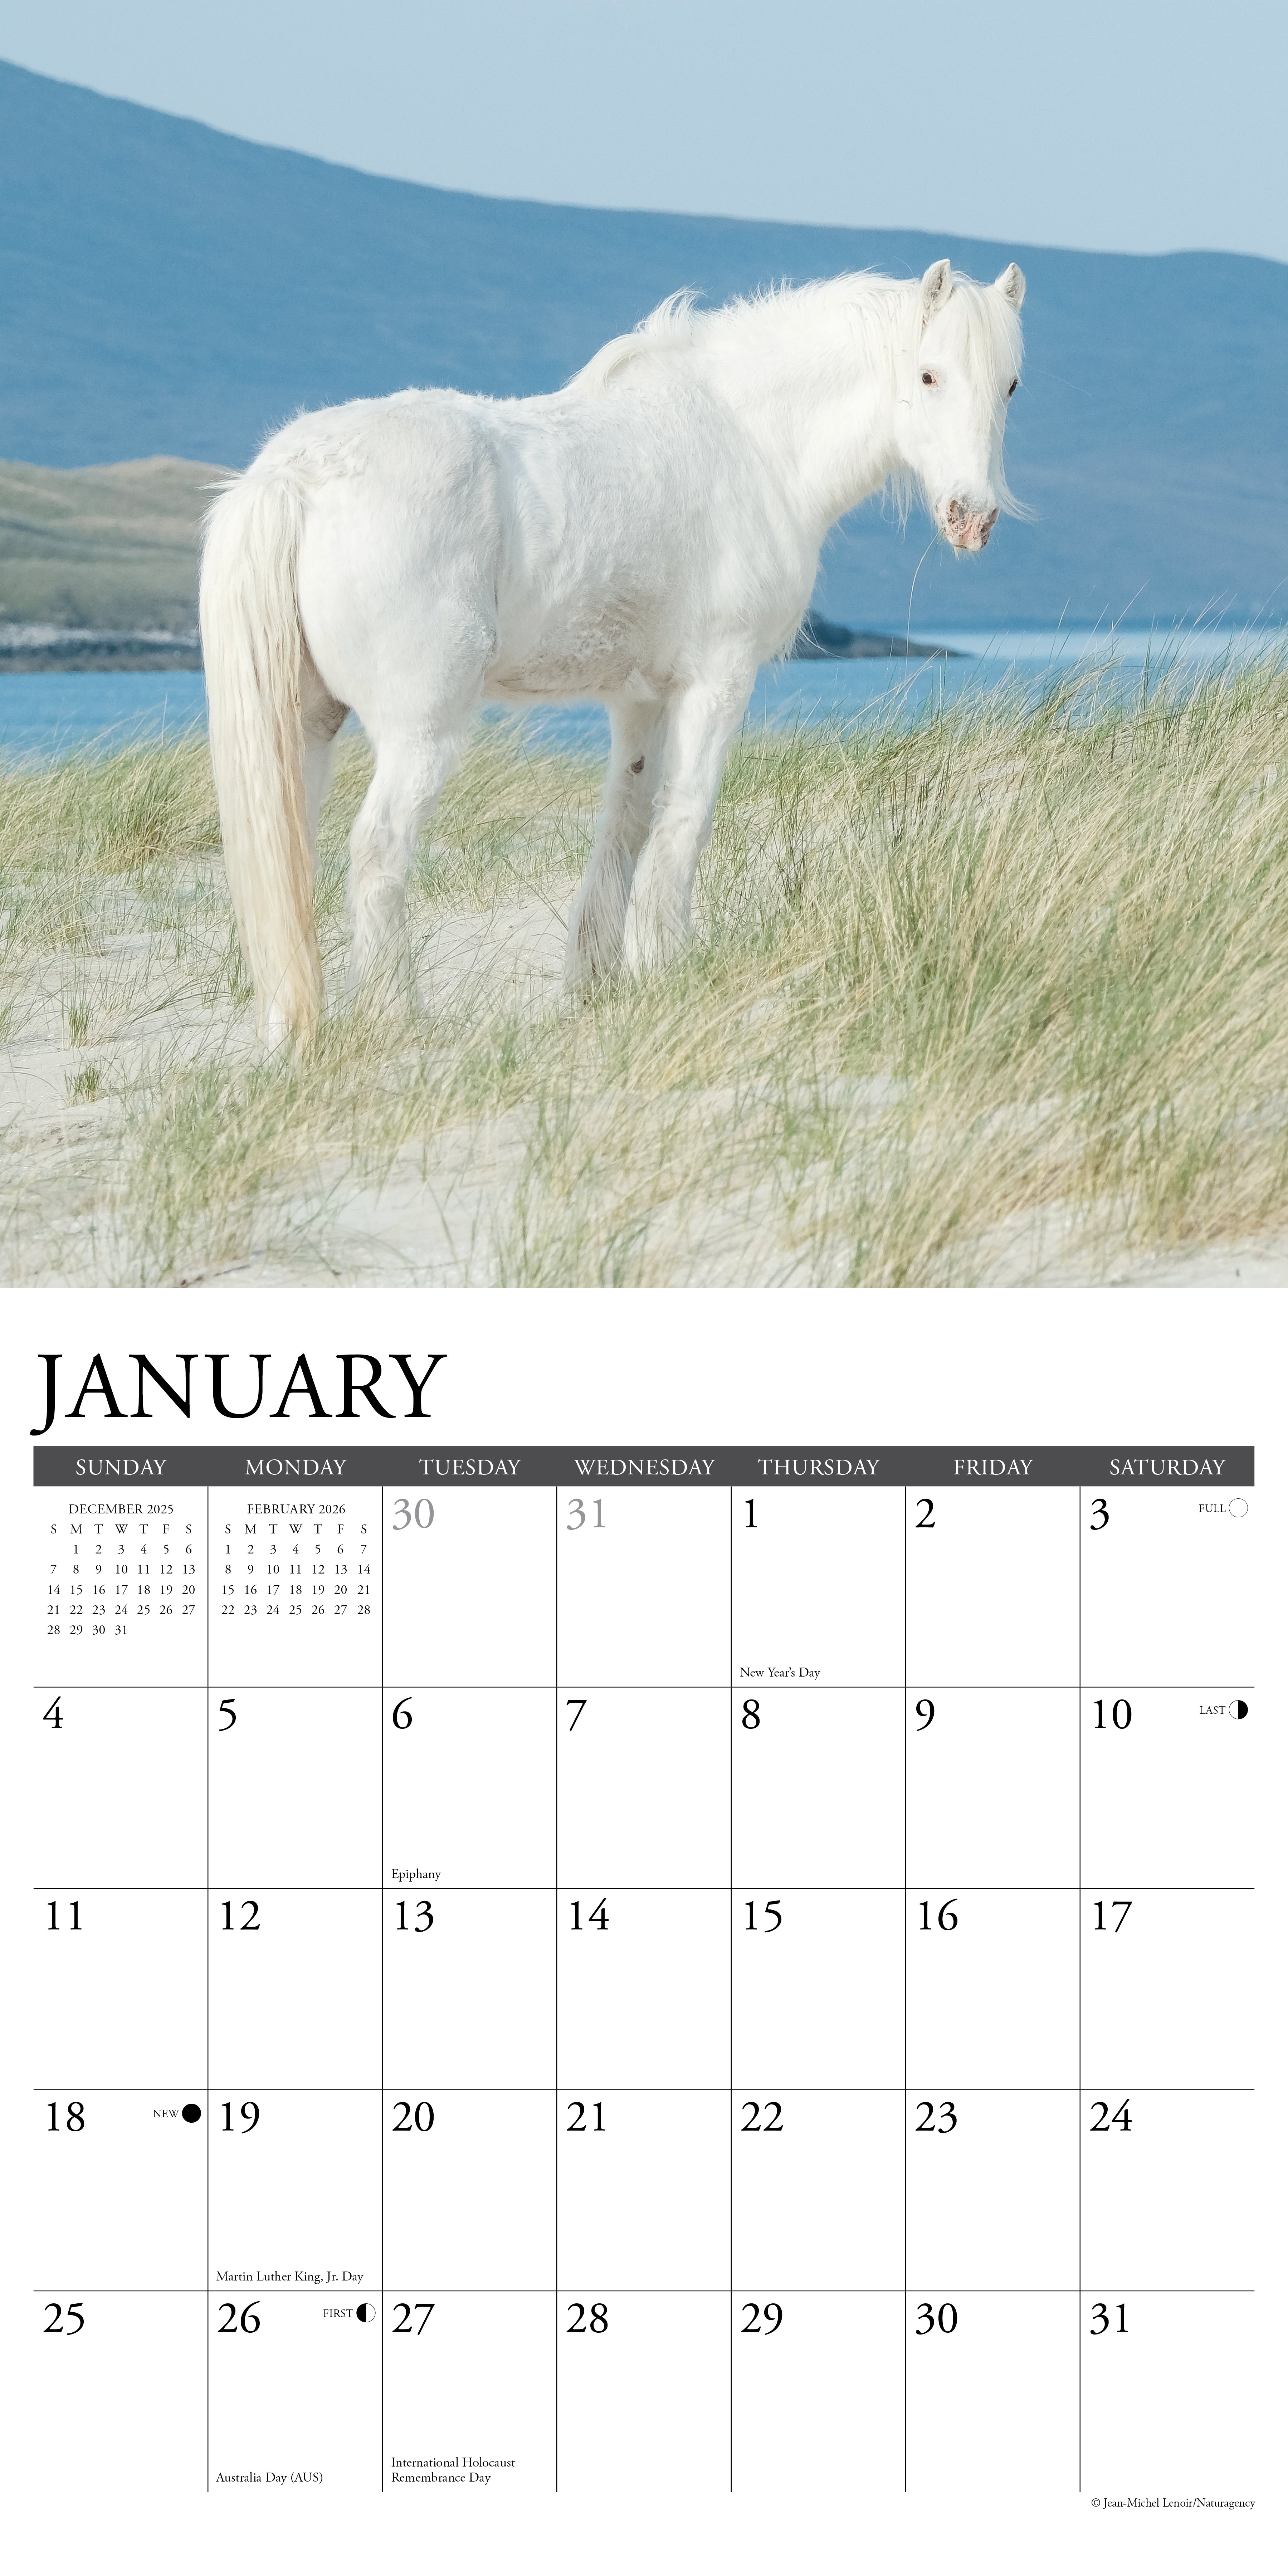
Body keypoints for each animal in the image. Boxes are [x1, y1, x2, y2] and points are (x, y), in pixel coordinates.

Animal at [199, 257, 1026, 1043]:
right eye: (928, 374)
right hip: (418, 733)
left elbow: (626, 825)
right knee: (379, 852)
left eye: (1011, 385)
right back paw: (398, 1018)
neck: (748, 439)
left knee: (287, 856)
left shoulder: (641, 698)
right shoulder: (716, 682)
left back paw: (291, 1030)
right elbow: (687, 820)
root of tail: (295, 478)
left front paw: (596, 979)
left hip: (306, 726)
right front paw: (668, 965)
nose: (973, 518)